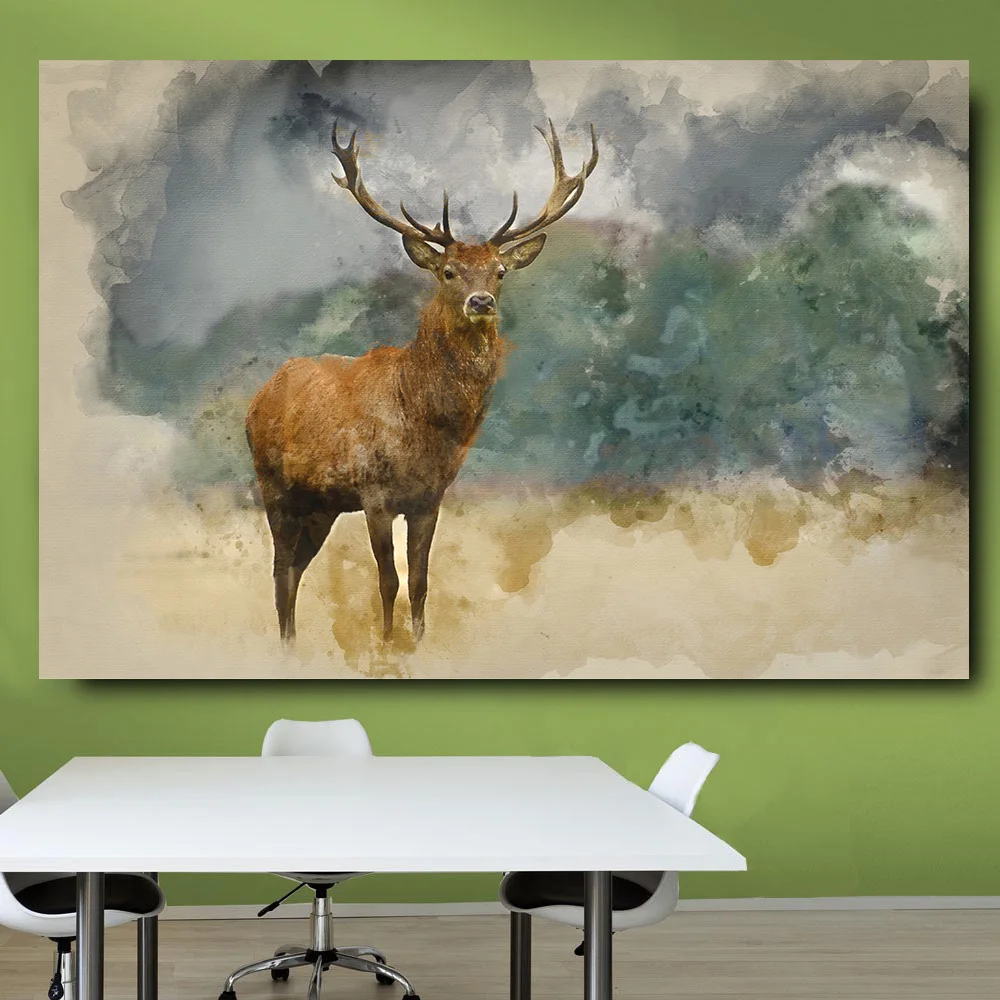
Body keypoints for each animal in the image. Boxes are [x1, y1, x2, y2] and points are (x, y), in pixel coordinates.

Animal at [246, 119, 598, 645]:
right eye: (448, 271)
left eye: (499, 272)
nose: (480, 302)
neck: (424, 424)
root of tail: (258, 396)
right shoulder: (373, 492)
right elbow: (387, 581)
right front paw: (388, 646)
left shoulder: (431, 498)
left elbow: (420, 581)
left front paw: (418, 642)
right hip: (274, 484)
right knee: (280, 568)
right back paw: (287, 647)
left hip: (321, 505)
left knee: (295, 569)